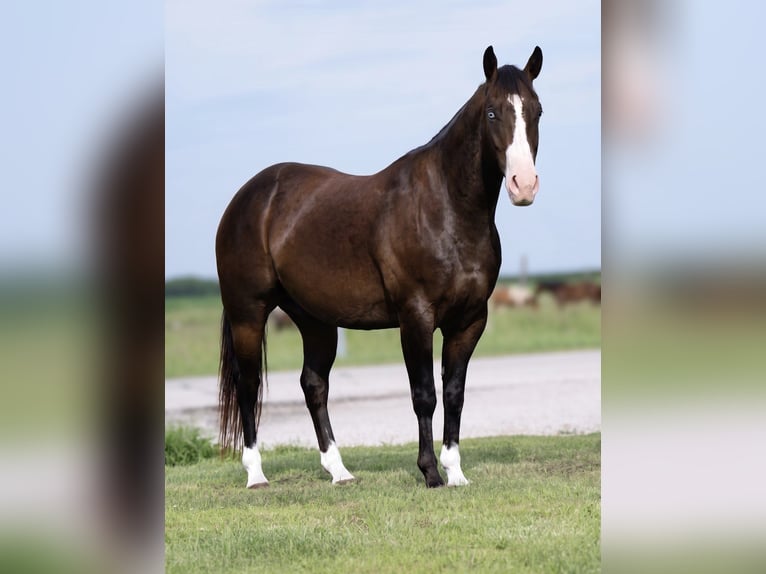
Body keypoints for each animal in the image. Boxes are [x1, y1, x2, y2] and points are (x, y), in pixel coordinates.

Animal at [216, 45, 544, 488]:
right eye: (493, 112)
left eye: (536, 110)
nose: (523, 185)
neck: (446, 209)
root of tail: (247, 196)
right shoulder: (416, 317)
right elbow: (424, 394)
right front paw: (430, 473)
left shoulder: (470, 321)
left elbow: (454, 393)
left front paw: (455, 472)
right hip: (248, 314)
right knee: (248, 385)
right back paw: (255, 474)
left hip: (315, 320)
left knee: (313, 385)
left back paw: (338, 471)